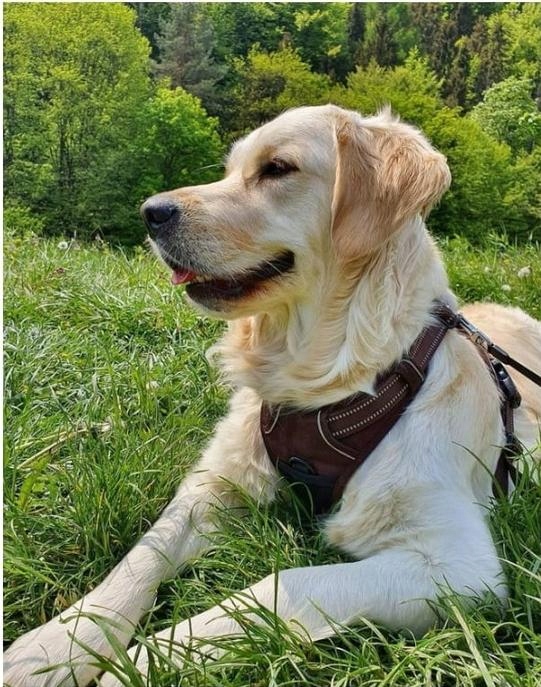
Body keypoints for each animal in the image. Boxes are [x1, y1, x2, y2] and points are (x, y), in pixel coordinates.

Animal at [4, 105, 541, 687]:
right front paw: (51, 648)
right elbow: (143, 553)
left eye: (277, 168)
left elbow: (287, 584)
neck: (327, 380)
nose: (151, 212)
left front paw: (144, 661)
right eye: (230, 169)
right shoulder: (214, 482)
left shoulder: (461, 569)